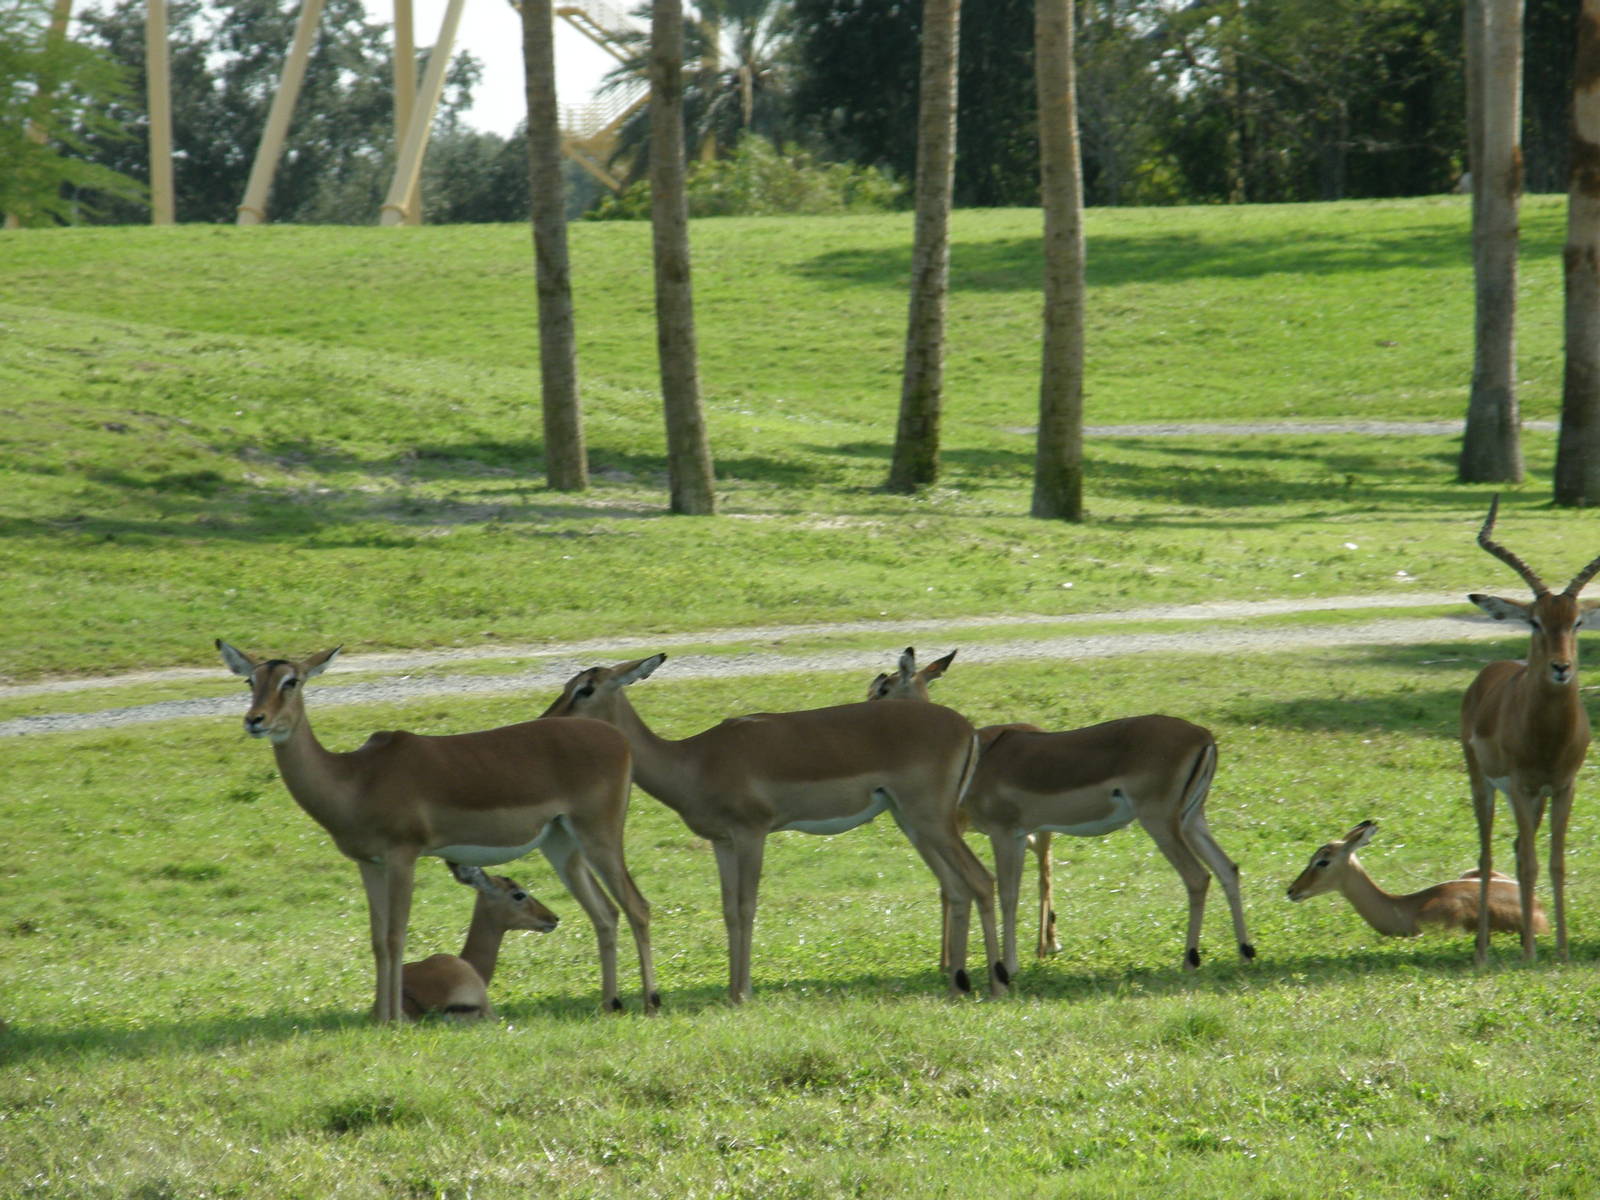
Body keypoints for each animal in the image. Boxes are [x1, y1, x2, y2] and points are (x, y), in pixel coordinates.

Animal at [539, 654, 1008, 1002]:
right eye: (568, 684)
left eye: (585, 689)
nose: (549, 720)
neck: (693, 761)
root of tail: (967, 728)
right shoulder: (722, 843)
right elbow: (729, 910)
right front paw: (731, 992)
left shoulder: (752, 834)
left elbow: (748, 906)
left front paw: (744, 992)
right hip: (915, 824)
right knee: (958, 887)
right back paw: (958, 984)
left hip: (931, 822)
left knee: (981, 880)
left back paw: (999, 983)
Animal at [867, 648, 1253, 975]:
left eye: (883, 688)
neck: (979, 756)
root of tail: (1204, 736)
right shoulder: (1017, 834)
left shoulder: (1003, 832)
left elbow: (1006, 894)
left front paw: (1009, 967)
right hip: (1191, 819)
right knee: (1227, 868)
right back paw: (1245, 951)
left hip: (1160, 822)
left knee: (1197, 877)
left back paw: (1190, 960)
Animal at [1460, 496, 1600, 964]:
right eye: (1534, 621)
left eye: (1577, 621)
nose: (1561, 667)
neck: (1548, 738)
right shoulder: (1520, 786)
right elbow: (1530, 864)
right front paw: (1531, 955)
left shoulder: (1563, 787)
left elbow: (1555, 863)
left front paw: (1562, 952)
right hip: (1484, 785)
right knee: (1489, 856)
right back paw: (1484, 952)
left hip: (1534, 798)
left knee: (1520, 849)